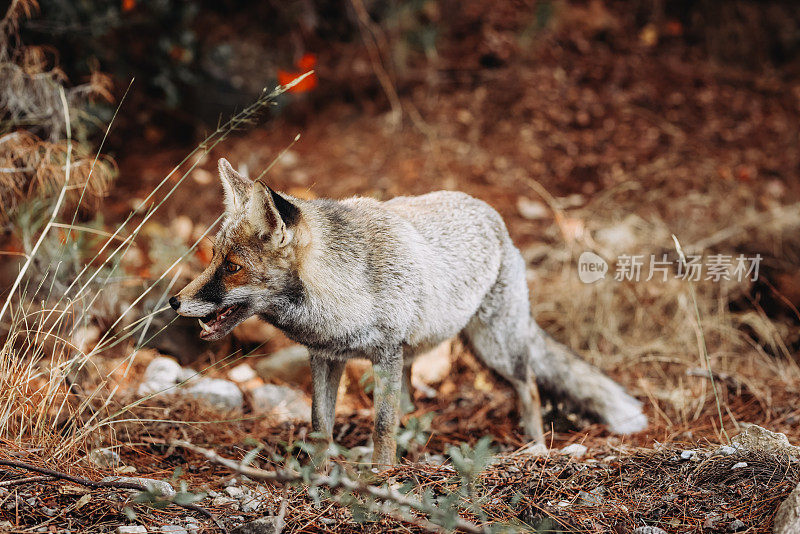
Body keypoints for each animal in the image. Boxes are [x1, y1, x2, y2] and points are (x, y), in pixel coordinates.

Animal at [172, 160, 648, 468]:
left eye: (232, 268)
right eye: (214, 258)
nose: (176, 301)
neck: (343, 289)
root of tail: (490, 213)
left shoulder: (384, 354)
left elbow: (382, 427)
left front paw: (382, 479)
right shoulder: (326, 357)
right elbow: (320, 427)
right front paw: (318, 478)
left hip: (494, 348)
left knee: (529, 384)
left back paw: (535, 447)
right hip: (420, 356)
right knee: (416, 407)